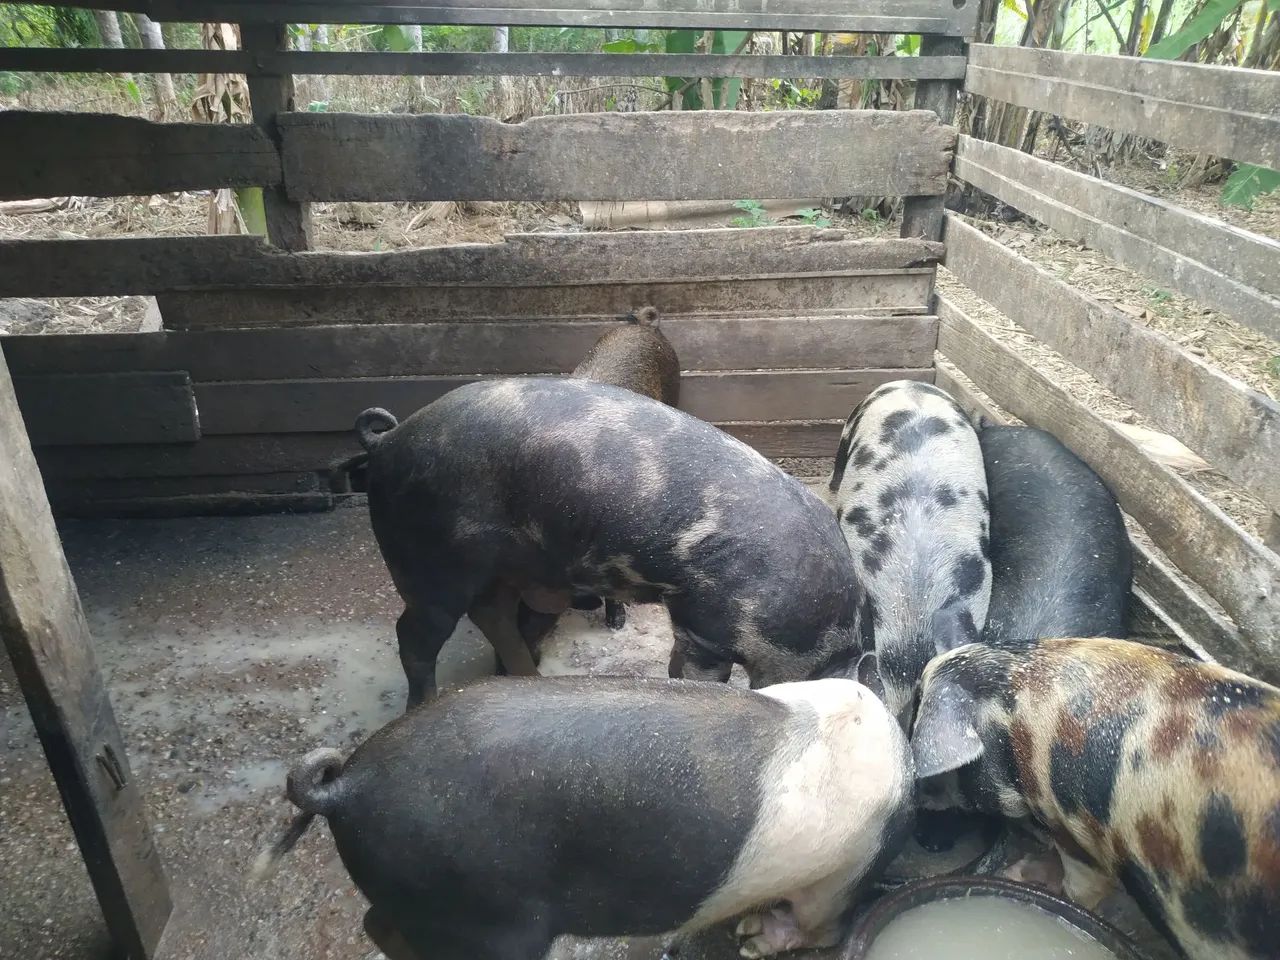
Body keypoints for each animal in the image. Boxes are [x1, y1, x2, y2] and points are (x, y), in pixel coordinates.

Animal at [254, 676, 914, 960]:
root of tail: (349, 786)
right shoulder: (839, 873)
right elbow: (821, 928)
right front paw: (754, 942)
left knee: (375, 923)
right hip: (491, 918)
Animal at [354, 377, 863, 706]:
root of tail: (389, 440)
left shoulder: (690, 627)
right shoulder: (708, 629)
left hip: (507, 570)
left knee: (494, 616)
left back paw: (531, 680)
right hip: (427, 561)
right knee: (414, 636)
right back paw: (422, 704)